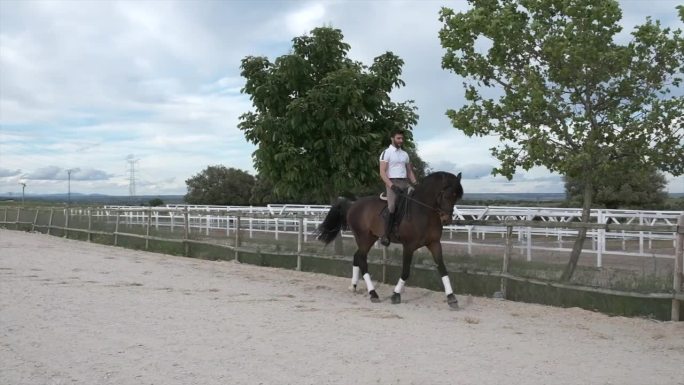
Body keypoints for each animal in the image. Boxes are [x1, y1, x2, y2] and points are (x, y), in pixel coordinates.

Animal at [316, 171, 464, 306]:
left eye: (457, 198)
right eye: (446, 195)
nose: (447, 220)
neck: (423, 212)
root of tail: (353, 204)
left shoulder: (434, 243)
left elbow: (443, 269)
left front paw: (451, 298)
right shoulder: (409, 246)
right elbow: (405, 272)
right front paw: (396, 294)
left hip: (369, 238)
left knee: (357, 257)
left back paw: (353, 286)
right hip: (363, 237)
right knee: (362, 260)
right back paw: (373, 294)